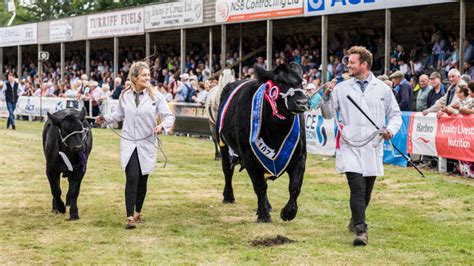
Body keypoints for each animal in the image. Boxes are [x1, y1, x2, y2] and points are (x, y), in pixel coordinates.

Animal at [218, 62, 310, 222]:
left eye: (301, 82)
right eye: (279, 81)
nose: (302, 102)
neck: (277, 132)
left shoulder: (300, 157)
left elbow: (295, 187)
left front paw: (288, 212)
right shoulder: (249, 158)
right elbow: (259, 186)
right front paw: (263, 215)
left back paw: (268, 205)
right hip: (223, 144)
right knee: (227, 171)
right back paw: (228, 196)